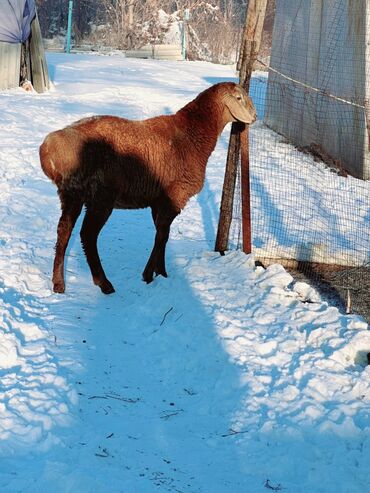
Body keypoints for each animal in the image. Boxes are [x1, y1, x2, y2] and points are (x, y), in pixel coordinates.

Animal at [39, 82, 254, 294]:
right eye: (238, 98)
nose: (254, 117)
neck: (193, 136)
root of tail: (49, 149)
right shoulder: (174, 197)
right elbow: (161, 236)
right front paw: (149, 275)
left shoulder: (158, 202)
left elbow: (162, 236)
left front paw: (161, 272)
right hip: (100, 197)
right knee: (88, 235)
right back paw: (104, 283)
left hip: (71, 195)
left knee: (64, 230)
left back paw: (58, 284)